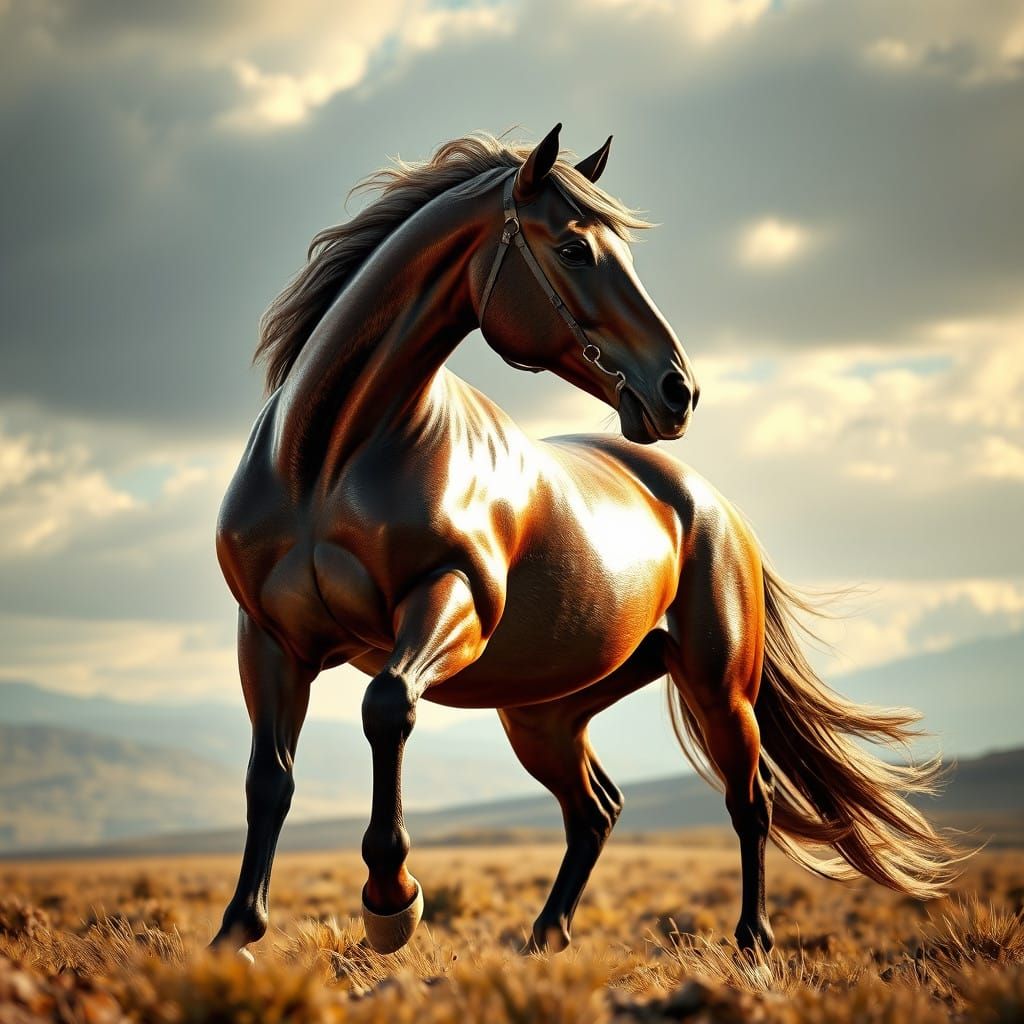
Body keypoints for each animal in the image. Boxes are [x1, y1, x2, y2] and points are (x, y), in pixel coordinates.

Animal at [210, 125, 959, 959]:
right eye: (573, 249)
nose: (678, 391)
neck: (327, 461)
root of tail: (713, 506)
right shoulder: (271, 639)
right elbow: (270, 779)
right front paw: (237, 930)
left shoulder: (451, 603)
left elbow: (387, 706)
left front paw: (391, 898)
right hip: (544, 715)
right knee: (597, 809)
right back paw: (545, 937)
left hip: (717, 686)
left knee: (750, 799)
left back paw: (753, 944)